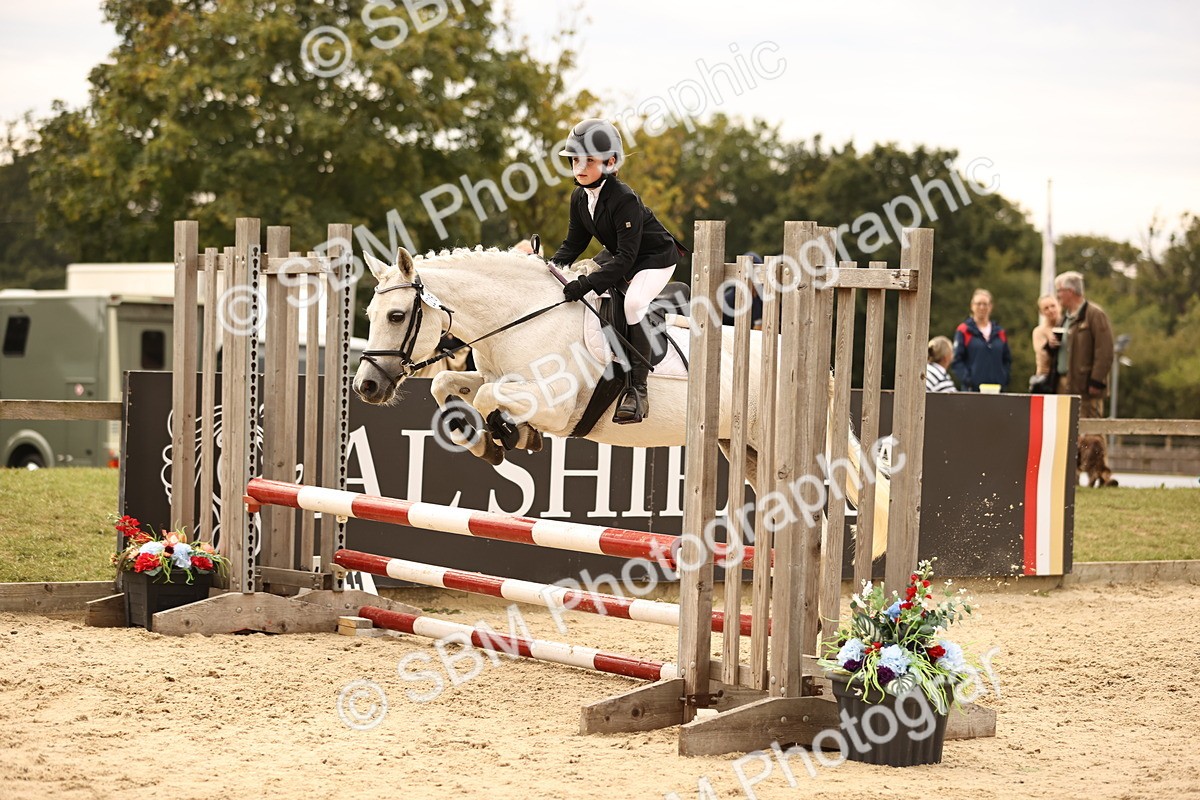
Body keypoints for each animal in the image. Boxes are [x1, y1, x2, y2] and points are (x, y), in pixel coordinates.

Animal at [352, 246, 892, 555]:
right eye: (371, 315)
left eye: (397, 316)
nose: (366, 387)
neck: (521, 318)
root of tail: (813, 364)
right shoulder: (494, 377)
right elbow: (449, 387)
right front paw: (496, 437)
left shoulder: (555, 404)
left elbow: (486, 395)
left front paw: (505, 435)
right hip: (749, 453)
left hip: (784, 452)